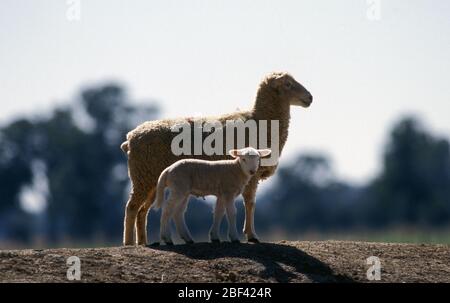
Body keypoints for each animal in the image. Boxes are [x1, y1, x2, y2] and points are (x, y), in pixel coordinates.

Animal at [119, 72, 312, 247]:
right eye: (288, 84)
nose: (310, 97)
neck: (261, 120)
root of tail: (130, 138)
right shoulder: (251, 175)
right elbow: (250, 203)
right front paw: (251, 235)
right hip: (142, 175)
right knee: (132, 207)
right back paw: (128, 242)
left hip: (151, 179)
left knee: (143, 210)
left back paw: (143, 242)